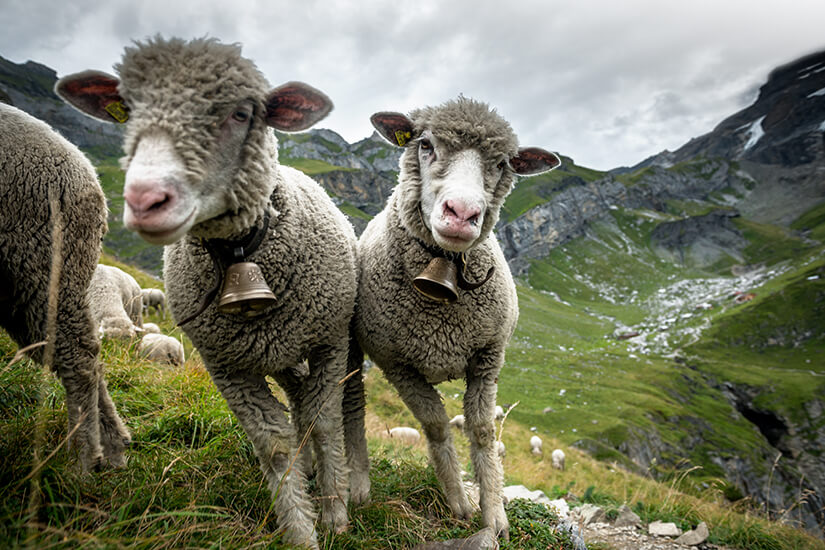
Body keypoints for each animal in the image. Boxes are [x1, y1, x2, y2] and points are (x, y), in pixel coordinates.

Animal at [58, 36, 354, 548]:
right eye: (129, 110)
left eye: (241, 113)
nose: (145, 199)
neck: (240, 252)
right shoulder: (225, 365)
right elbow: (274, 445)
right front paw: (300, 527)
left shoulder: (329, 341)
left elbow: (326, 422)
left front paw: (336, 515)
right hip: (276, 355)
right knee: (295, 405)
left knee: (310, 410)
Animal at [342, 97, 560, 540]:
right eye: (425, 144)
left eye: (502, 164)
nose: (462, 212)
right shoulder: (397, 364)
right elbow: (437, 425)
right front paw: (458, 500)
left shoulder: (488, 358)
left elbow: (482, 432)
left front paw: (494, 515)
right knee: (353, 404)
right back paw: (358, 485)